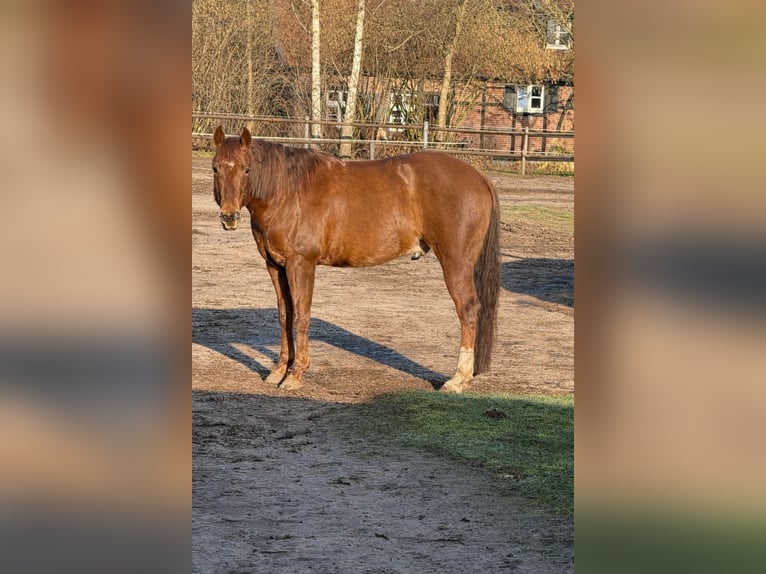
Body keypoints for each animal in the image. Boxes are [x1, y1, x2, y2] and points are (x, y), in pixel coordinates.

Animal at [211, 126, 499, 393]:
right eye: (215, 168)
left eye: (246, 169)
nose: (229, 216)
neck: (287, 191)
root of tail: (478, 177)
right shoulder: (275, 266)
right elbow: (285, 316)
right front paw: (280, 370)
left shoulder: (301, 265)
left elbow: (301, 316)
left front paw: (296, 374)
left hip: (456, 263)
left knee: (468, 309)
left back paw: (458, 379)